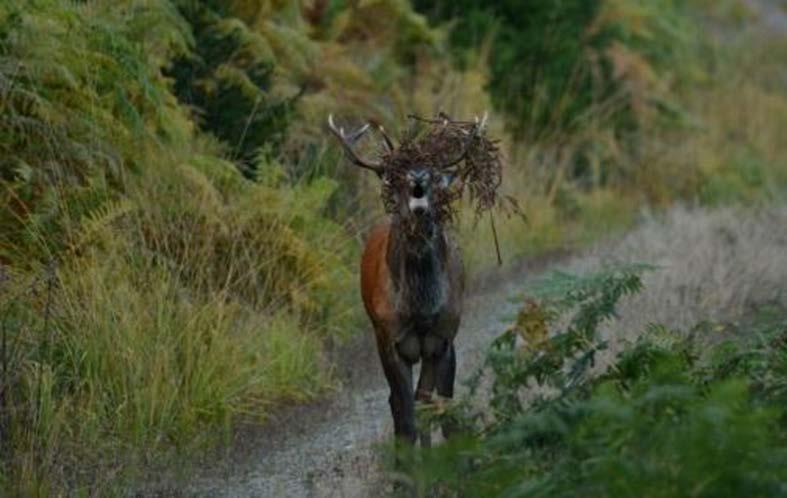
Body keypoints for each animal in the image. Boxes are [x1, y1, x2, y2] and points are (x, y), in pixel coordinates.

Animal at [326, 115, 486, 450]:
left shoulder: (441, 339)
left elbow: (432, 407)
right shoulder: (390, 339)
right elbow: (406, 415)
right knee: (398, 404)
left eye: (435, 177)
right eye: (394, 178)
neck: (420, 310)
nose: (418, 189)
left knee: (433, 400)